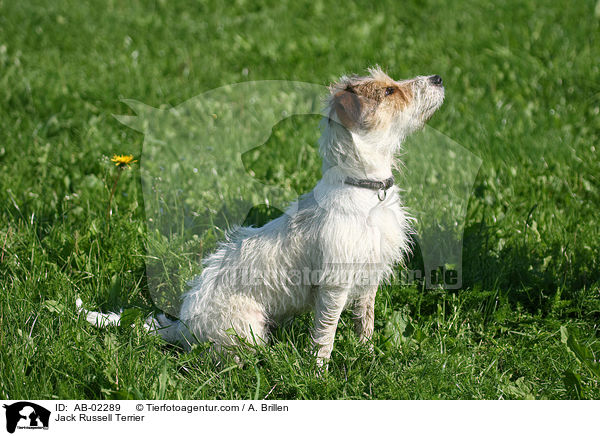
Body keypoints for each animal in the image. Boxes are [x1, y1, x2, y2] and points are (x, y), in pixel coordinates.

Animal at [79, 67, 442, 364]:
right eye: (389, 91)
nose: (438, 78)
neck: (366, 187)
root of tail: (184, 325)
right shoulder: (334, 286)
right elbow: (325, 334)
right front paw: (319, 372)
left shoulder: (369, 277)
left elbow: (364, 321)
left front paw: (367, 354)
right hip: (247, 328)